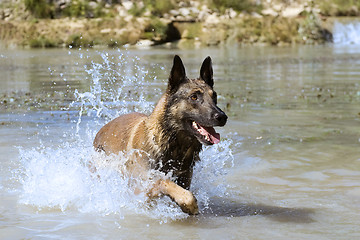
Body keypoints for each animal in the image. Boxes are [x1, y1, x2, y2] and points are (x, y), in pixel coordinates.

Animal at [93, 55, 228, 215]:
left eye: (214, 97)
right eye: (194, 97)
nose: (222, 117)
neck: (173, 144)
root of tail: (100, 132)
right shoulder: (140, 187)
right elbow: (163, 181)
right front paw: (188, 203)